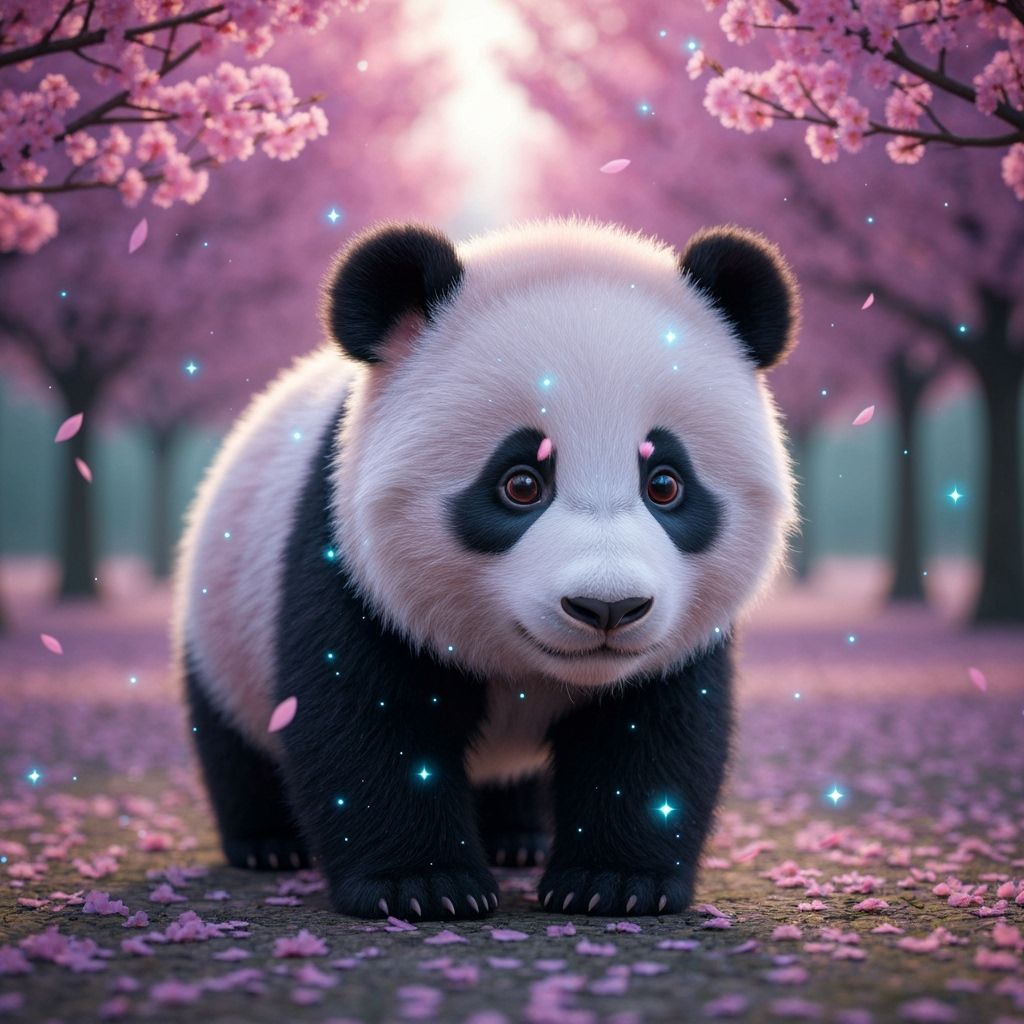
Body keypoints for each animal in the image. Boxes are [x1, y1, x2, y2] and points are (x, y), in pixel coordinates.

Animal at [173, 218, 798, 921]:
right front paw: (422, 887)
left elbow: (656, 730)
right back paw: (268, 846)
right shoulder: (345, 560)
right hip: (223, 606)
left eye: (664, 483)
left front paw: (612, 883)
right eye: (521, 483)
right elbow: (363, 718)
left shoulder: (674, 641)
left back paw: (517, 839)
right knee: (236, 737)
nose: (607, 608)